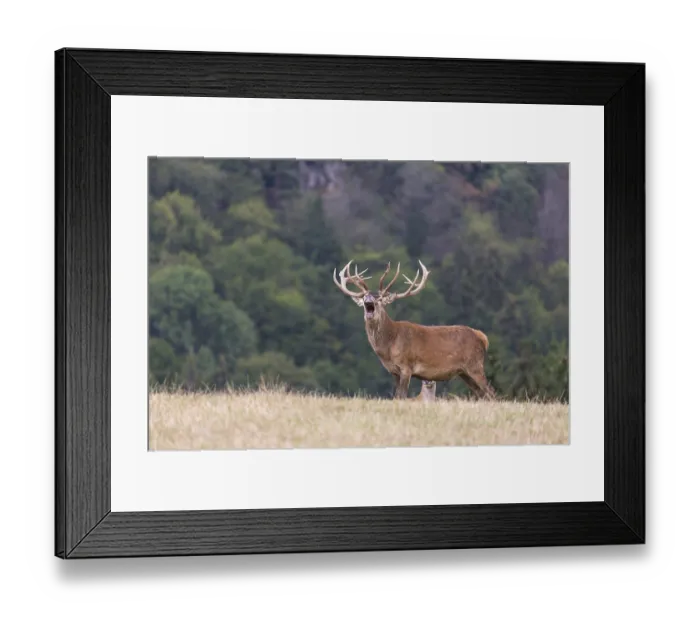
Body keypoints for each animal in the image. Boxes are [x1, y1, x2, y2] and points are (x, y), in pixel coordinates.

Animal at [332, 260, 495, 400]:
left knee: (491, 392)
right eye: (365, 296)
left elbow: (402, 396)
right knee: (482, 394)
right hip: (464, 372)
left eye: (379, 300)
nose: (368, 300)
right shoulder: (394, 371)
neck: (389, 345)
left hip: (475, 364)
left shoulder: (406, 366)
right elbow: (396, 396)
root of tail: (482, 337)